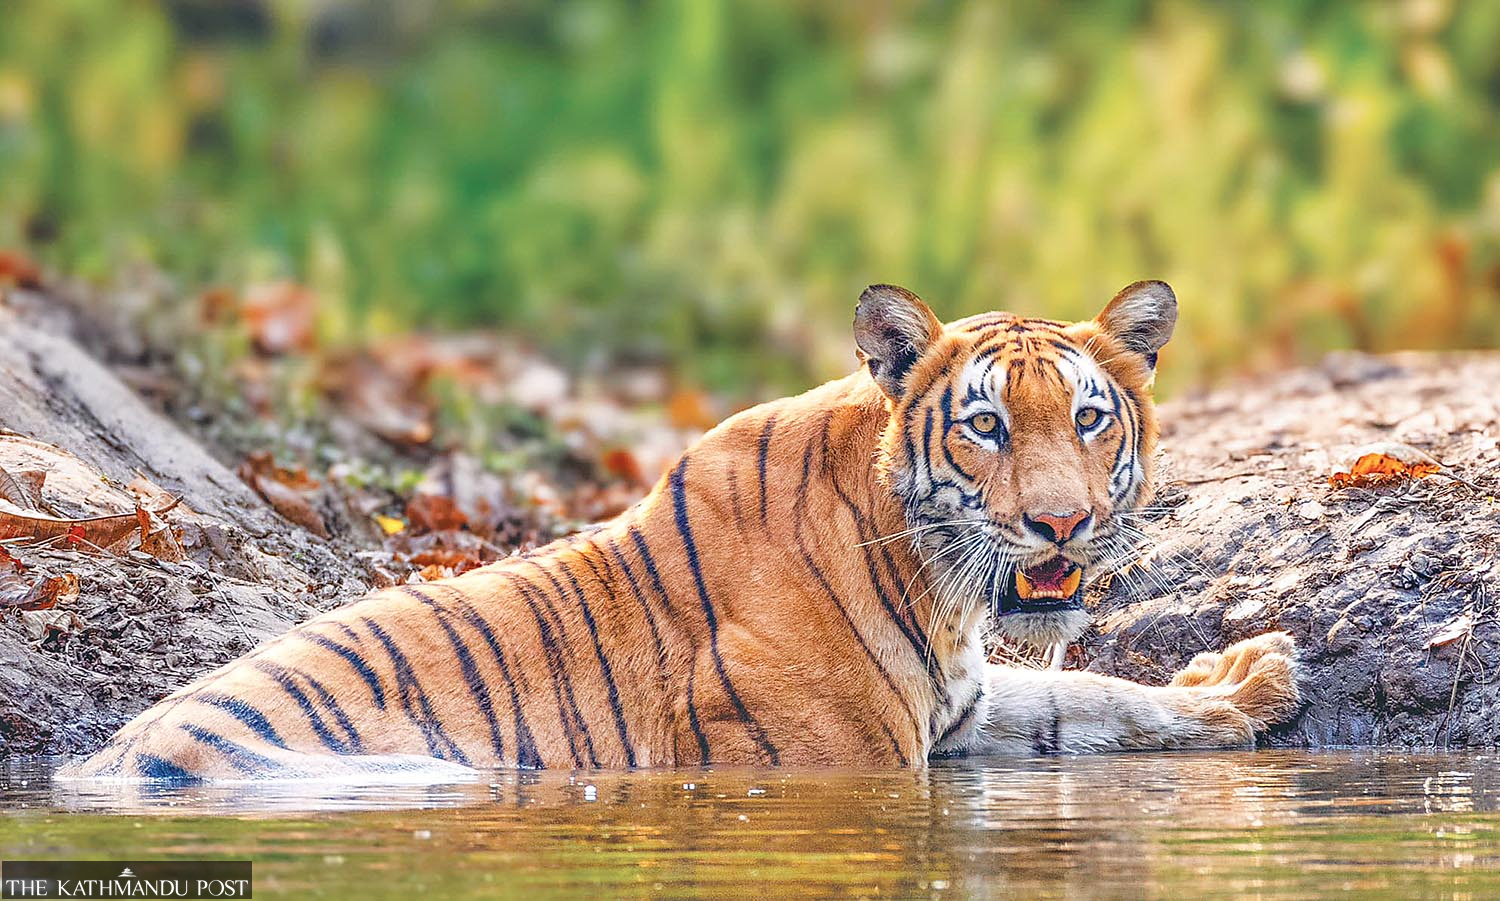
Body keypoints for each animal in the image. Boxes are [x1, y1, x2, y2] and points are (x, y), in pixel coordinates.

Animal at [65, 280, 1300, 780]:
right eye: (987, 427)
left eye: (1088, 418)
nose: (1061, 522)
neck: (929, 578)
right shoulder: (844, 760)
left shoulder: (961, 711)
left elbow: (1087, 698)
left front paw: (1246, 683)